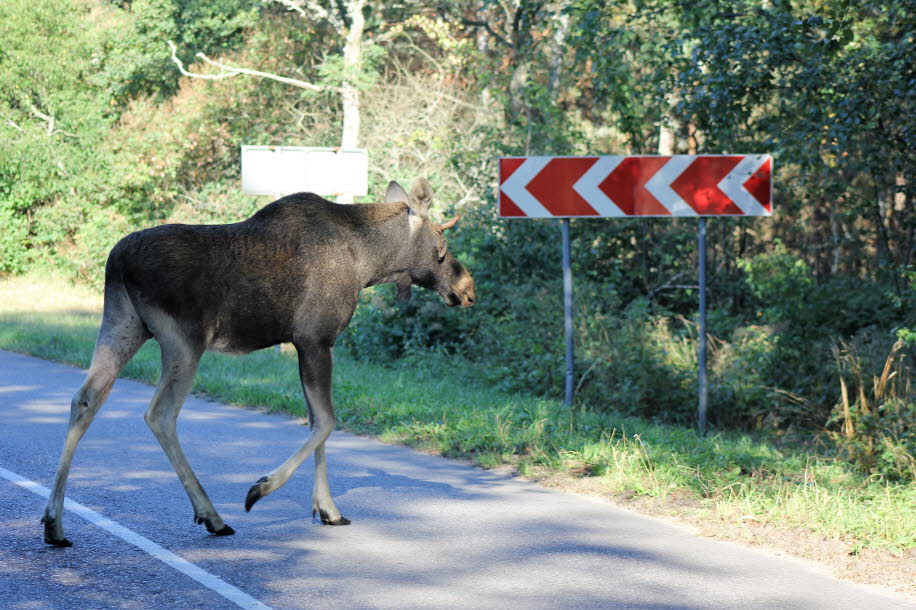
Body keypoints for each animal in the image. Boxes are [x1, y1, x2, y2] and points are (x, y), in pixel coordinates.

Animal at [40, 178, 476, 544]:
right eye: (441, 240)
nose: (467, 286)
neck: (369, 264)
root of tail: (117, 260)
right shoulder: (315, 338)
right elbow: (327, 421)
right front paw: (261, 488)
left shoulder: (309, 344)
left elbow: (317, 422)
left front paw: (327, 510)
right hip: (183, 340)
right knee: (159, 414)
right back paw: (212, 515)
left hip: (122, 324)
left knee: (85, 398)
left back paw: (53, 523)